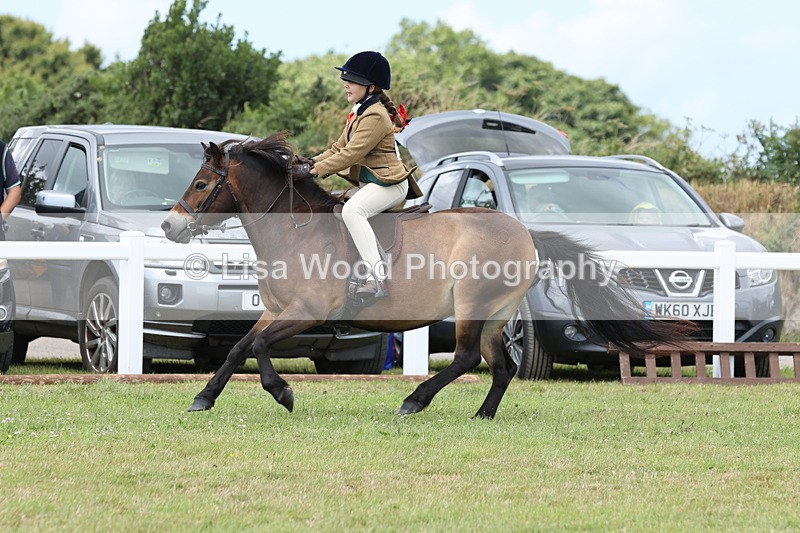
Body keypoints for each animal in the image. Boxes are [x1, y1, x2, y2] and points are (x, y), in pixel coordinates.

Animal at [161, 133, 687, 418]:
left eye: (202, 184)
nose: (169, 227)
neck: (295, 229)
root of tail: (523, 232)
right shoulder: (275, 311)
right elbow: (240, 347)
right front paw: (203, 398)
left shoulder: (307, 312)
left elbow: (261, 348)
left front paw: (283, 392)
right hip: (496, 314)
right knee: (500, 366)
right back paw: (481, 415)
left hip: (472, 306)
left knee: (467, 358)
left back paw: (414, 401)